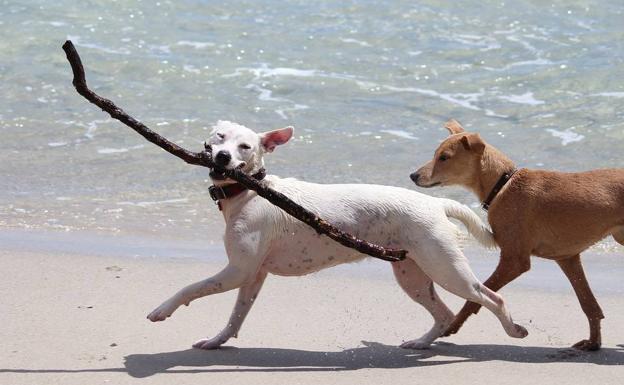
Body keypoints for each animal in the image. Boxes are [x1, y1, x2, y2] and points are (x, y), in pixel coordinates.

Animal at [147, 120, 528, 348]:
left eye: (246, 147)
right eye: (220, 138)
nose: (223, 157)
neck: (251, 190)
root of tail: (434, 203)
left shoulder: (237, 271)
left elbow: (190, 288)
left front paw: (162, 310)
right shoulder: (252, 276)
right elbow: (236, 315)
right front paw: (217, 341)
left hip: (446, 269)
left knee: (491, 298)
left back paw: (513, 329)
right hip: (413, 275)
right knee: (445, 314)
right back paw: (421, 344)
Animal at [410, 118, 624, 350]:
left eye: (444, 157)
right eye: (435, 154)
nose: (413, 176)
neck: (503, 184)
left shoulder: (515, 260)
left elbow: (478, 296)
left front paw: (452, 325)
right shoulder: (568, 258)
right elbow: (590, 305)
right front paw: (593, 343)